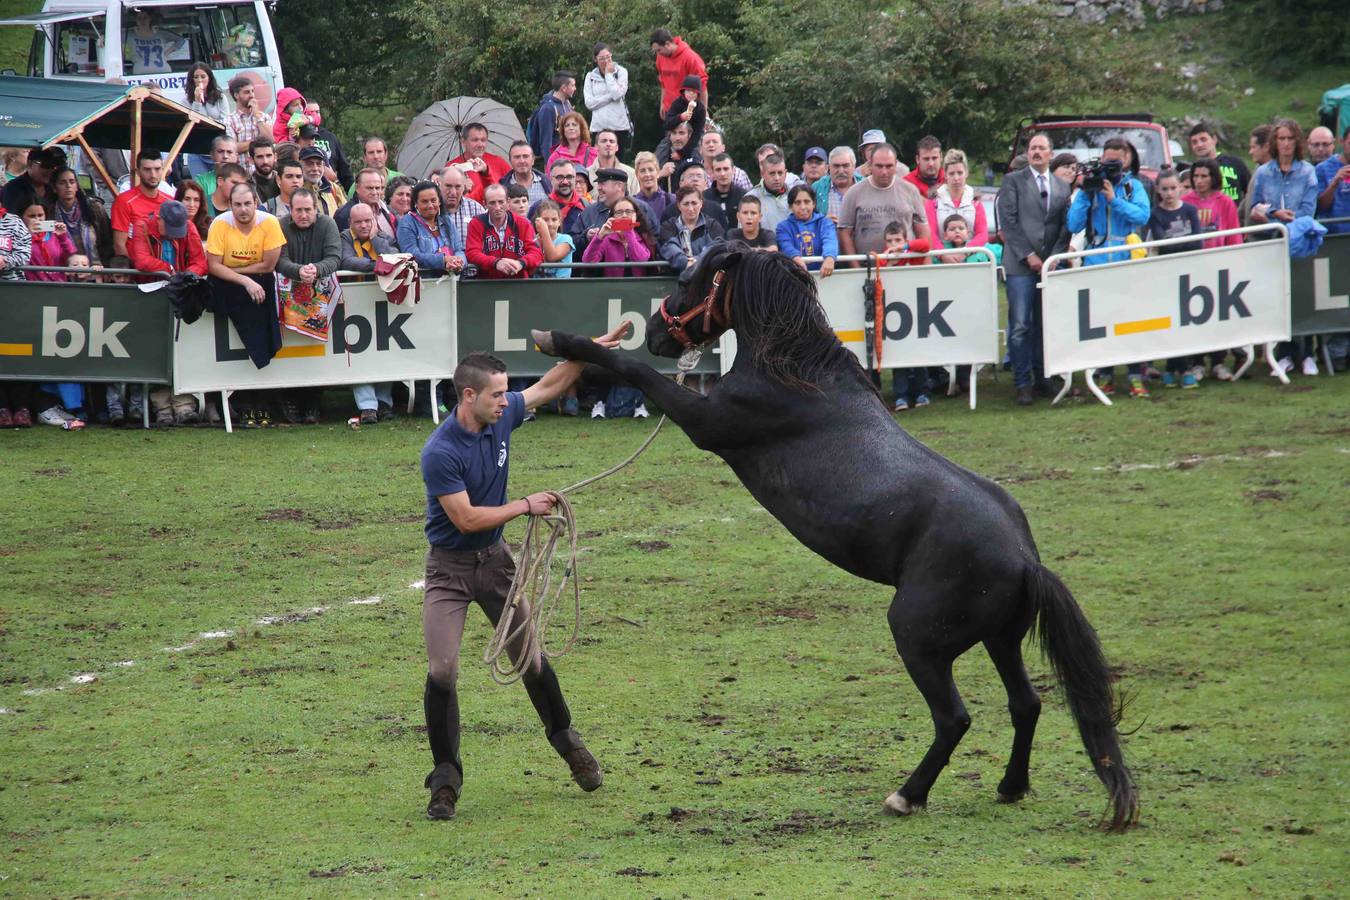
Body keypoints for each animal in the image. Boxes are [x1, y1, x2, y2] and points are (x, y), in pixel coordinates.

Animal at [529, 244, 1139, 831]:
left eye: (684, 280)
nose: (656, 330)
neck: (793, 372)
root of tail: (1025, 559)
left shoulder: (703, 420)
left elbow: (631, 369)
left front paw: (558, 339)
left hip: (918, 637)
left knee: (955, 718)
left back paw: (906, 797)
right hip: (1000, 638)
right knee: (1026, 704)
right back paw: (1010, 787)